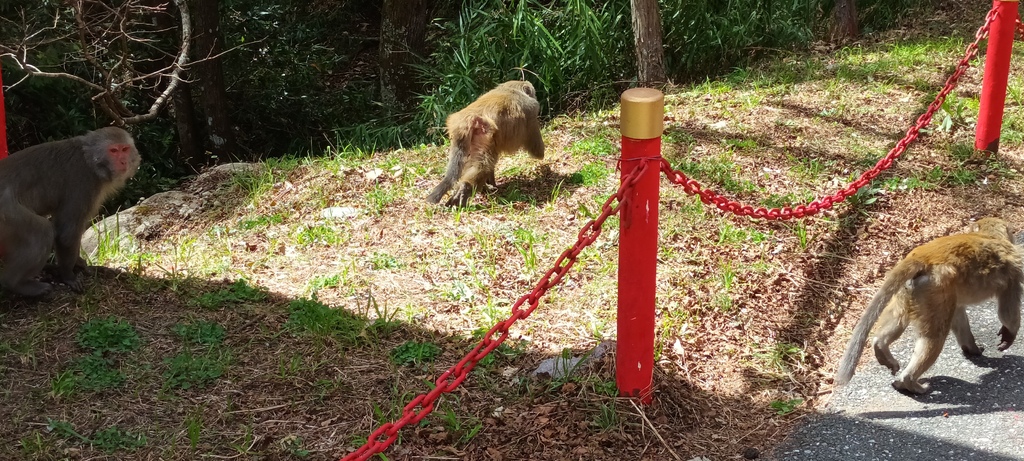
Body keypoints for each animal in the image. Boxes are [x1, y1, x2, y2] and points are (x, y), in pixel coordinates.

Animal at [0, 126, 141, 297]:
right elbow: (66, 233)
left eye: (125, 149)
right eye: (113, 150)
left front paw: (78, 262)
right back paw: (16, 283)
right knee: (42, 232)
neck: (90, 161)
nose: (123, 161)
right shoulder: (83, 182)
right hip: (7, 213)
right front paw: (68, 275)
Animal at [835, 217, 1019, 393]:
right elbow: (1008, 304)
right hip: (933, 287)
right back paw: (908, 382)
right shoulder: (1016, 267)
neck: (991, 236)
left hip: (913, 289)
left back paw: (880, 346)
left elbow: (958, 313)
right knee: (935, 336)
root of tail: (922, 255)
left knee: (900, 318)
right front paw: (1009, 335)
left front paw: (971, 348)